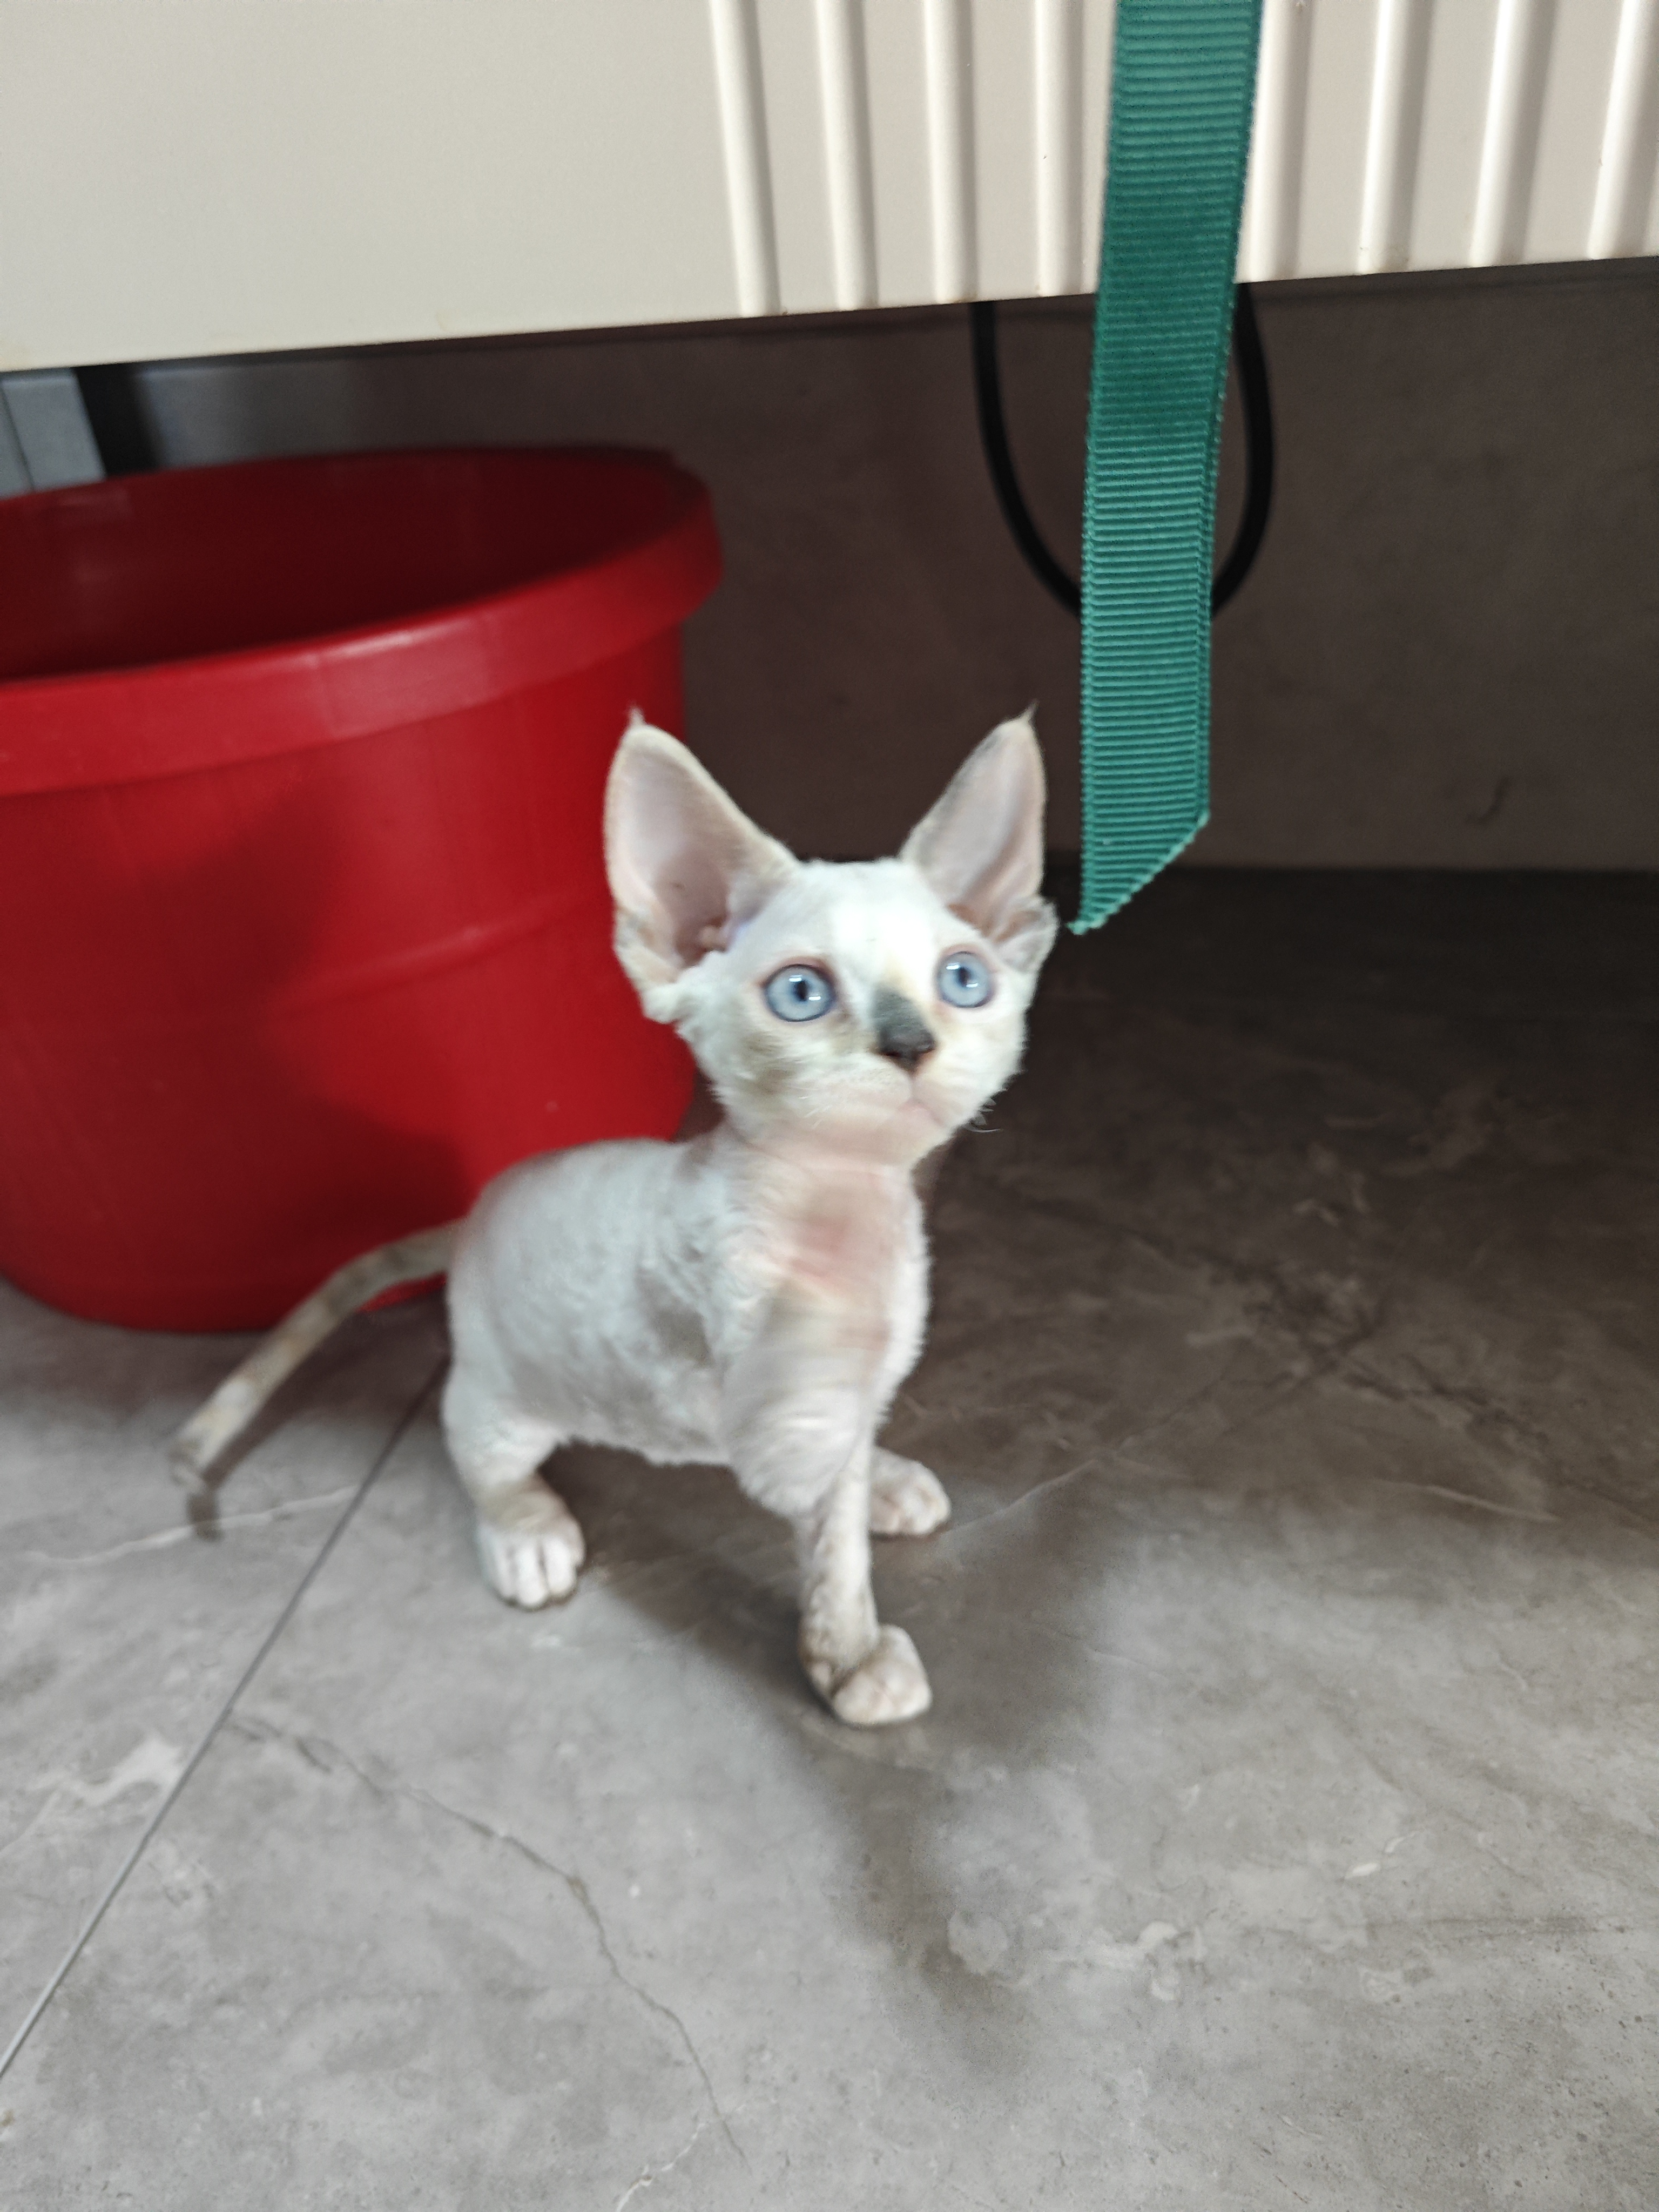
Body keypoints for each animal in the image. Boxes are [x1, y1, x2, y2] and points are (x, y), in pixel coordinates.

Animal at [172, 710, 1057, 1726]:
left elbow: (853, 1455)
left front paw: (878, 1491)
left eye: (964, 980)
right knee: (471, 1441)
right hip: (503, 1396)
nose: (911, 1043)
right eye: (801, 994)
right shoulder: (780, 1424)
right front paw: (850, 1659)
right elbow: (829, 1539)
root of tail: (475, 1217)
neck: (849, 1215)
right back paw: (526, 1533)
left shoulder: (858, 1381)